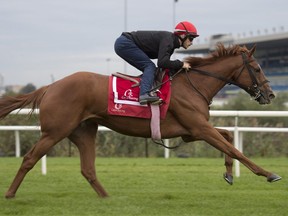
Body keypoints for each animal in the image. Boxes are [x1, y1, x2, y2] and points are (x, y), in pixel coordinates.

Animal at [1, 42, 282, 199]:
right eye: (257, 68)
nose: (270, 94)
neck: (195, 84)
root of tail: (49, 87)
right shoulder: (199, 128)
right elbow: (235, 149)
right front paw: (268, 174)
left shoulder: (192, 131)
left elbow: (229, 137)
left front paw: (228, 174)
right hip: (55, 131)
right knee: (29, 159)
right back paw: (11, 193)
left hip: (83, 131)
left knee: (88, 168)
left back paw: (108, 199)